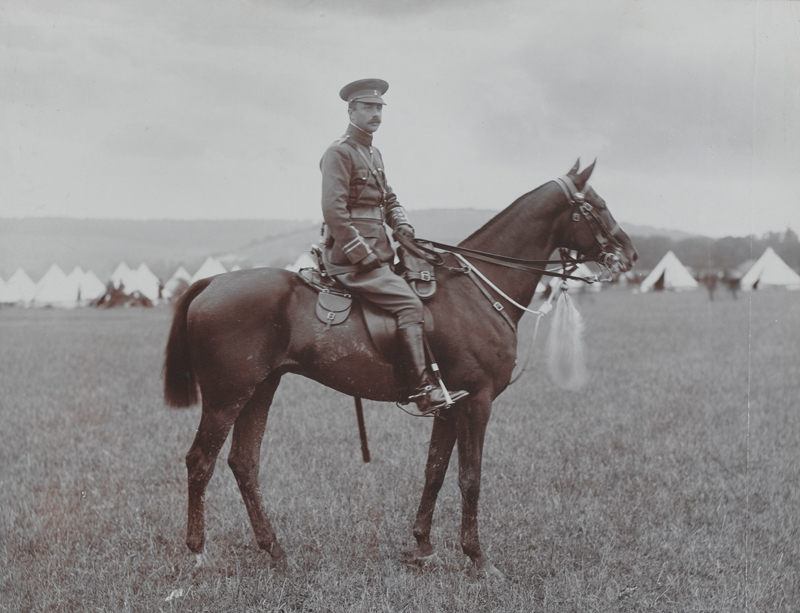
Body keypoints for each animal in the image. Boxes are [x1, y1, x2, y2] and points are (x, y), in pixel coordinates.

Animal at [162, 160, 636, 572]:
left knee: (244, 463)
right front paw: (477, 557)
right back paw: (198, 552)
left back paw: (273, 548)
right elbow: (470, 477)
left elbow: (435, 472)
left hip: (262, 388)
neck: (476, 291)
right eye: (595, 205)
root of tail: (212, 282)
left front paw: (423, 545)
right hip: (227, 396)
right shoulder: (477, 402)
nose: (628, 254)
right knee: (199, 461)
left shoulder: (449, 406)